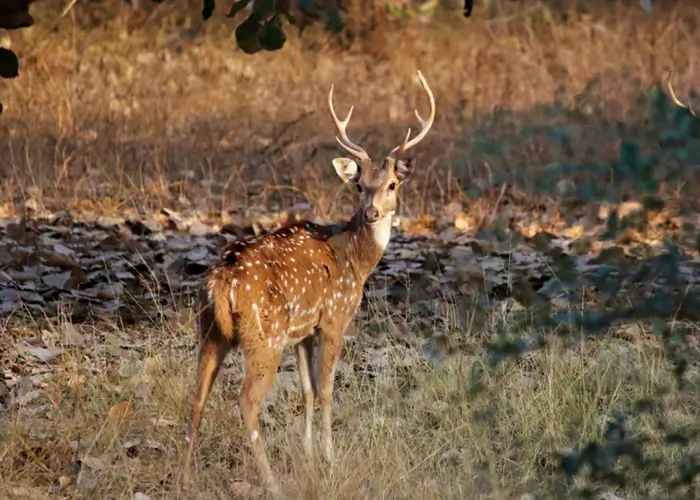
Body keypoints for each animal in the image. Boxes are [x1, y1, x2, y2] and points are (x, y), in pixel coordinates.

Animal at [177, 70, 436, 493]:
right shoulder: (334, 318)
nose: (372, 212)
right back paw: (271, 482)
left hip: (209, 329)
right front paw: (329, 458)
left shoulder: (303, 332)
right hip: (263, 336)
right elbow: (328, 389)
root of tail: (222, 281)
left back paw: (184, 477)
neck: (355, 259)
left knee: (197, 394)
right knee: (246, 401)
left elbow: (307, 389)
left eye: (392, 185)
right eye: (358, 185)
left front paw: (308, 455)